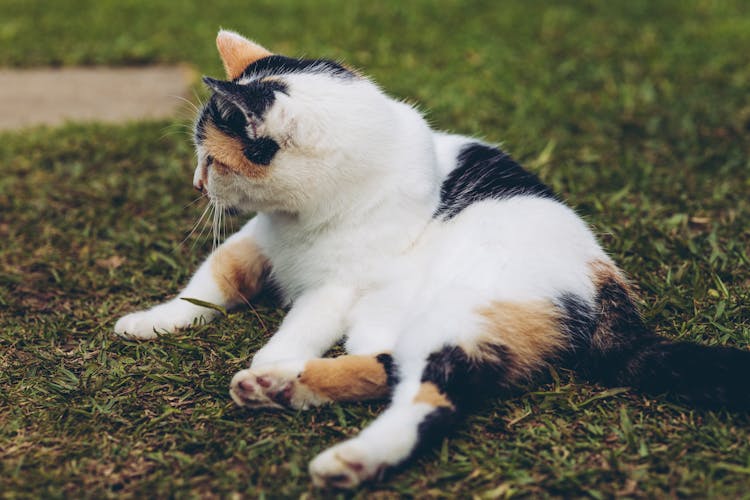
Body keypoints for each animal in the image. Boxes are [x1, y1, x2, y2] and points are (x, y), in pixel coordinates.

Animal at [113, 31, 750, 488]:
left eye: (213, 161)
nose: (197, 185)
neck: (302, 216)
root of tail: (607, 282)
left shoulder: (335, 291)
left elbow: (301, 325)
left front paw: (271, 355)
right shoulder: (255, 239)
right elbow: (210, 282)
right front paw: (152, 321)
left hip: (462, 314)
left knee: (432, 394)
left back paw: (341, 450)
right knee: (390, 366)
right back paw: (280, 389)